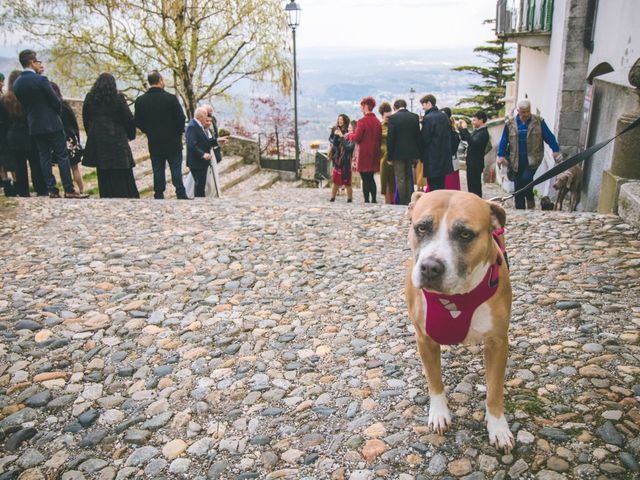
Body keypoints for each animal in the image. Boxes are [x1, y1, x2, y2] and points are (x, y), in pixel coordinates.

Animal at [404, 189, 516, 452]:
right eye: (421, 228)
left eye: (465, 234)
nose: (430, 267)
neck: (455, 297)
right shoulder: (424, 339)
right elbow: (434, 380)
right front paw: (439, 414)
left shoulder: (497, 342)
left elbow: (494, 389)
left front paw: (498, 428)